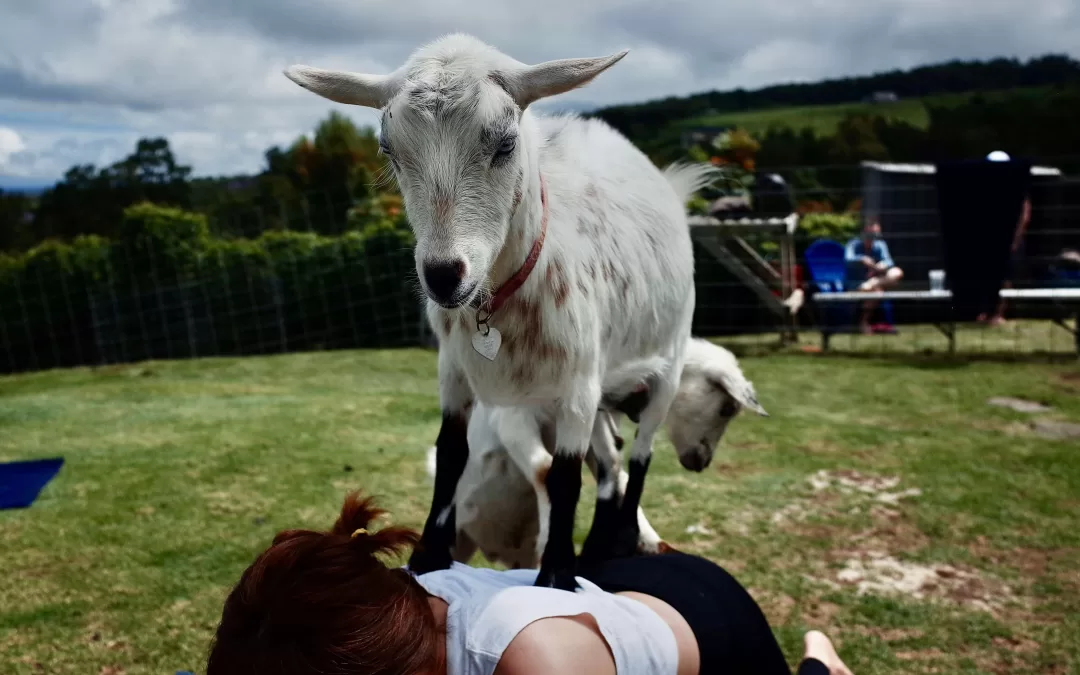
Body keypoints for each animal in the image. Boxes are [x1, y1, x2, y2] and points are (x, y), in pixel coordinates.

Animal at [285, 32, 717, 587]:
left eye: (505, 144)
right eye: (389, 150)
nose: (444, 275)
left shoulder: (577, 384)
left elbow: (564, 475)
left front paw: (556, 575)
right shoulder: (454, 370)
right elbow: (452, 455)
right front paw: (427, 556)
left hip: (666, 359)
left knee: (642, 452)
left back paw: (618, 538)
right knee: (610, 459)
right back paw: (599, 544)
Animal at [432, 336, 768, 570]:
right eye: (727, 408)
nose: (702, 462)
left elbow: (616, 472)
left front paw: (649, 542)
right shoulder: (514, 419)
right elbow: (545, 470)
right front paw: (552, 543)